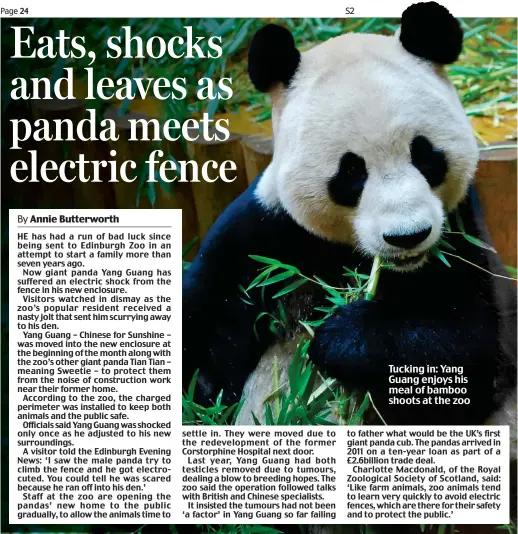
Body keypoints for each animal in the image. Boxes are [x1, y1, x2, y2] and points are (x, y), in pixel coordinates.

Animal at [182, 2, 516, 438]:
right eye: (352, 172)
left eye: (425, 155)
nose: (408, 236)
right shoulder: (262, 236)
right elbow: (203, 332)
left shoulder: (460, 234)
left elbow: (474, 343)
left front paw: (342, 336)